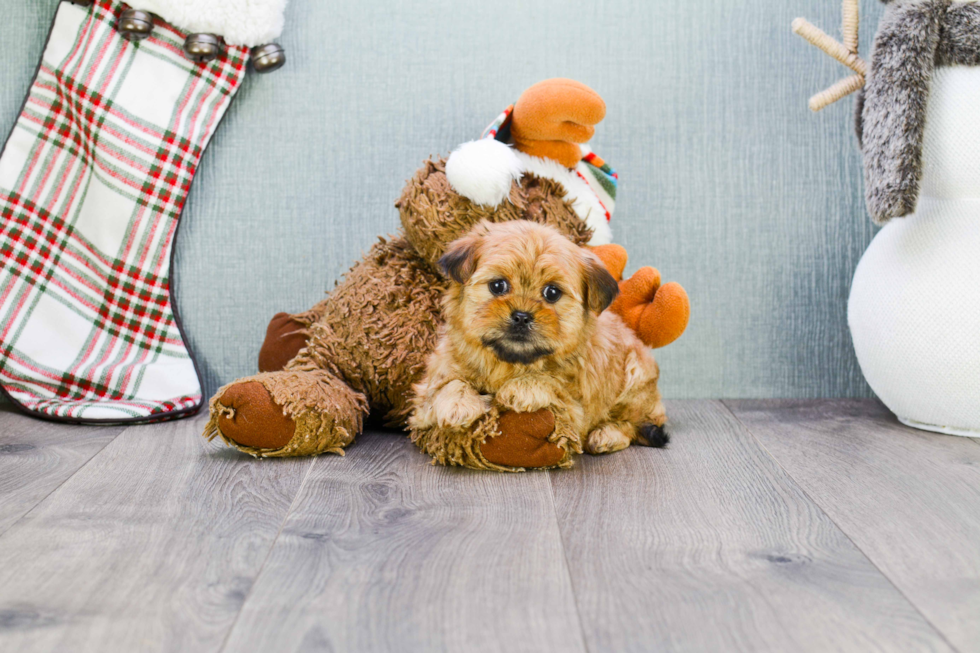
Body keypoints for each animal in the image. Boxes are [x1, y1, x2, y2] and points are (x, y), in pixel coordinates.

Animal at [410, 222, 668, 466]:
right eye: (497, 286)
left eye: (552, 293)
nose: (522, 316)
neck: (509, 363)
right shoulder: (426, 393)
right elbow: (445, 384)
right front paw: (458, 403)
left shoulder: (574, 410)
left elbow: (553, 382)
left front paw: (520, 388)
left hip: (637, 376)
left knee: (633, 423)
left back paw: (607, 435)